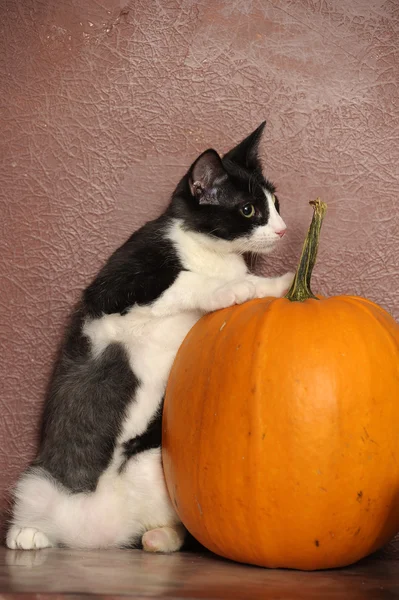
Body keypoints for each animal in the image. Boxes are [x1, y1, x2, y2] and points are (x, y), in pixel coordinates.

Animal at [6, 122, 294, 552]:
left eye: (275, 202)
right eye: (248, 210)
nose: (282, 228)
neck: (208, 250)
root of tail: (96, 537)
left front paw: (276, 284)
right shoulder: (113, 293)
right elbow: (186, 281)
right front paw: (237, 287)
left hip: (155, 463)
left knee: (171, 526)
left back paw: (159, 538)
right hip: (37, 481)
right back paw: (27, 533)